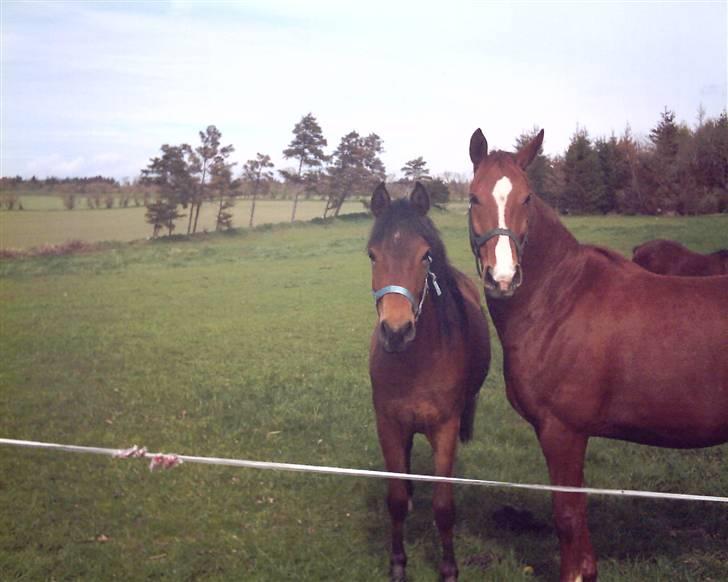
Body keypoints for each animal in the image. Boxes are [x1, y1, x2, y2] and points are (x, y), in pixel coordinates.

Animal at [366, 184, 492, 582]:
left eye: (425, 257)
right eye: (372, 255)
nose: (396, 331)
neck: (416, 362)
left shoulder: (445, 429)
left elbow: (443, 505)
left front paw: (449, 568)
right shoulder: (389, 424)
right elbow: (394, 499)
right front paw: (398, 563)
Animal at [466, 129, 728, 582]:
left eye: (527, 198)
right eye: (473, 198)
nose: (503, 278)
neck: (559, 300)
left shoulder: (563, 430)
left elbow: (568, 514)